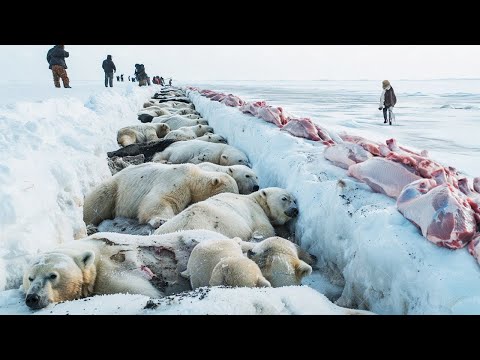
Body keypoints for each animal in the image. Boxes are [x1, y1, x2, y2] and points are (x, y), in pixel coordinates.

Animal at [84, 163, 240, 228]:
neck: (193, 177)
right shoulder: (176, 180)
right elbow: (161, 199)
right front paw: (161, 220)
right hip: (116, 187)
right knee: (99, 200)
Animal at [156, 187, 298, 240]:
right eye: (284, 198)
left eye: (294, 200)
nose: (295, 210)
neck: (256, 199)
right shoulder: (256, 212)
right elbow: (264, 228)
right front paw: (256, 237)